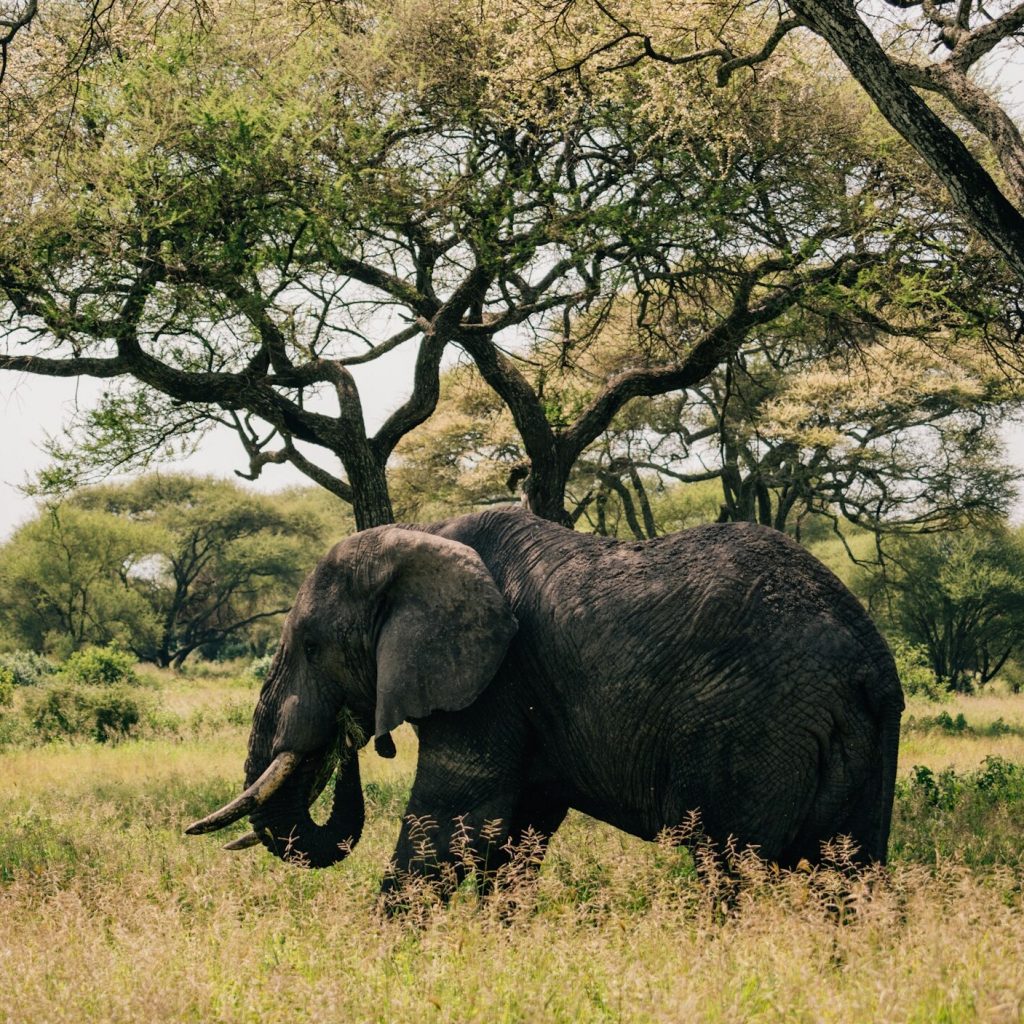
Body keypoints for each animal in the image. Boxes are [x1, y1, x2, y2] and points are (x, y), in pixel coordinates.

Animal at [187, 506, 904, 895]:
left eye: (310, 646)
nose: (350, 737)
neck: (423, 535)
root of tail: (866, 660)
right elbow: (517, 834)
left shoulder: (495, 681)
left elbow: (454, 822)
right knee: (849, 874)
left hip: (753, 730)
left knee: (731, 867)